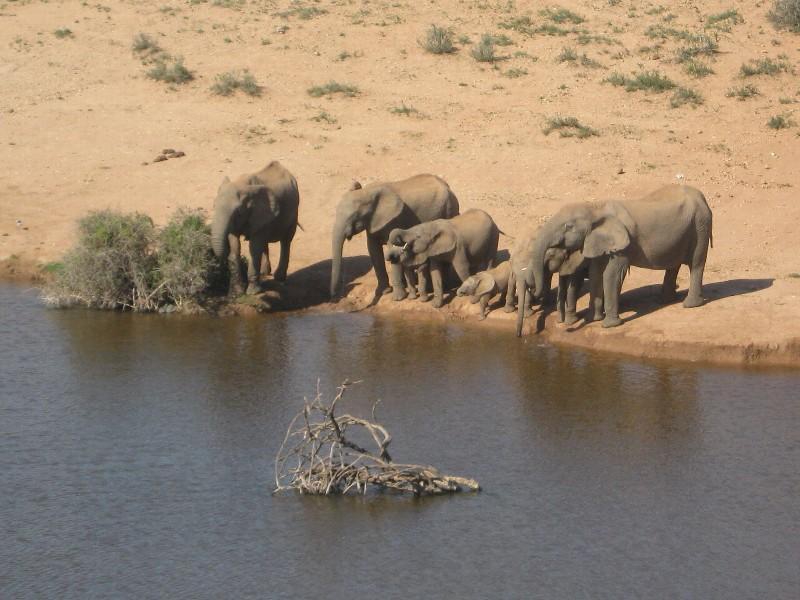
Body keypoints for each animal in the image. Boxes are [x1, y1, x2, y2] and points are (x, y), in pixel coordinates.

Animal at [211, 161, 300, 296]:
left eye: (238, 212)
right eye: (214, 206)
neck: (241, 185)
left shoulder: (261, 212)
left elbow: (254, 248)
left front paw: (253, 292)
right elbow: (235, 246)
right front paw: (236, 292)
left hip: (294, 209)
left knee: (286, 240)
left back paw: (279, 278)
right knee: (266, 241)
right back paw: (264, 272)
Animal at [330, 174, 460, 300]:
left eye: (354, 216)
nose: (335, 296)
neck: (368, 192)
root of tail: (448, 187)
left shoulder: (395, 220)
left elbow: (393, 248)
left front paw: (398, 298)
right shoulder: (372, 223)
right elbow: (373, 250)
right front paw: (384, 292)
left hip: (449, 210)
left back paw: (445, 286)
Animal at [527, 184, 713, 330]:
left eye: (568, 226)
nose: (533, 290)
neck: (595, 207)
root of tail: (702, 196)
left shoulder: (623, 244)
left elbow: (611, 274)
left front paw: (610, 325)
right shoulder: (600, 241)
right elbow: (596, 273)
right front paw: (593, 319)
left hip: (700, 225)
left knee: (696, 264)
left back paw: (690, 305)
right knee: (674, 264)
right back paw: (665, 300)